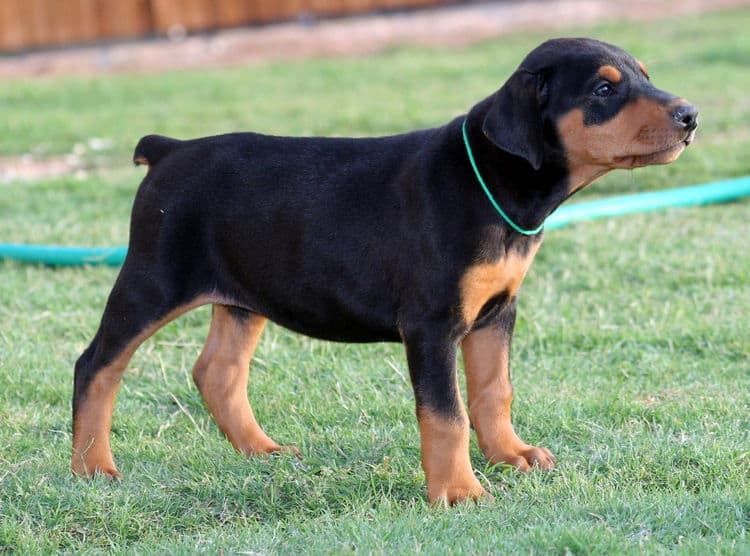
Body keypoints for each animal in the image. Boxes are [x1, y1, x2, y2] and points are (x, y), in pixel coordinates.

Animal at [72, 37, 700, 506]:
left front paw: (510, 455)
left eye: (643, 77)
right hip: (153, 279)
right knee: (96, 365)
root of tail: (169, 150)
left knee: (217, 372)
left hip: (244, 294)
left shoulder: (496, 313)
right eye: (603, 89)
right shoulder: (431, 325)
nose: (691, 115)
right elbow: (445, 414)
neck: (494, 183)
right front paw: (459, 491)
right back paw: (92, 468)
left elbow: (494, 391)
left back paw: (261, 450)